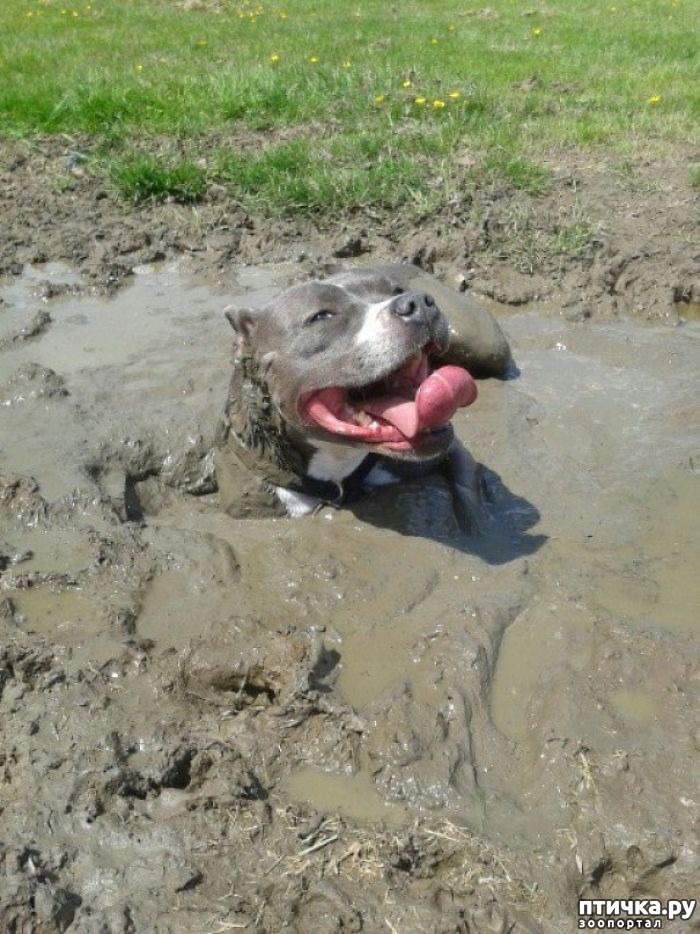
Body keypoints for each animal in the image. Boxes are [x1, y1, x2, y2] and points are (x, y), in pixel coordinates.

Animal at [215, 264, 512, 520]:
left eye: (397, 291)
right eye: (322, 315)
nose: (417, 302)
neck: (338, 467)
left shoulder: (451, 450)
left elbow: (467, 497)